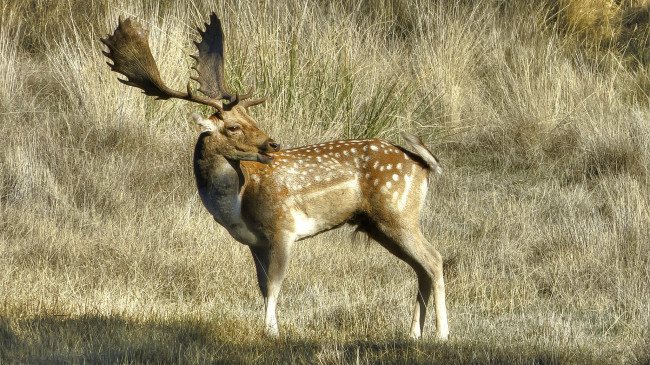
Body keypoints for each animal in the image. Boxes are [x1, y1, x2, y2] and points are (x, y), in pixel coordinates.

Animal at [101, 12, 448, 340]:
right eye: (234, 126)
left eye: (251, 117)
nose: (272, 144)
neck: (237, 203)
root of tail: (421, 165)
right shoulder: (254, 241)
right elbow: (261, 284)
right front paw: (268, 327)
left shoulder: (283, 226)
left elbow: (274, 284)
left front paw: (271, 331)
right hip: (377, 224)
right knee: (421, 268)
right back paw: (414, 333)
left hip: (397, 213)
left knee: (434, 259)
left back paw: (442, 334)